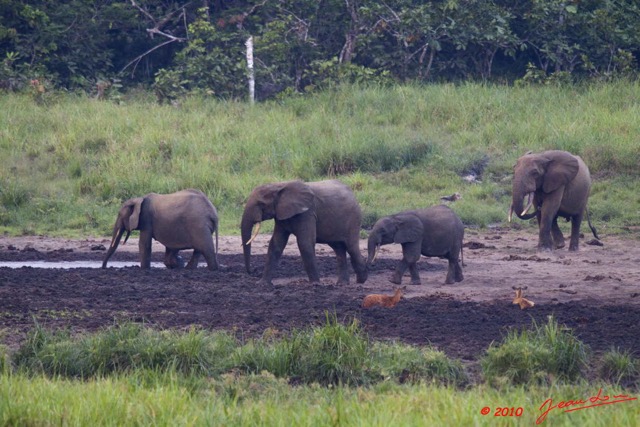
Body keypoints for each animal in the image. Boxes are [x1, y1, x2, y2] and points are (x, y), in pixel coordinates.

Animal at [241, 179, 370, 286]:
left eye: (261, 204)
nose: (253, 271)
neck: (280, 185)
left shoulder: (307, 213)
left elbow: (305, 243)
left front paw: (315, 284)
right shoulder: (281, 215)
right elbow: (276, 244)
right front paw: (262, 284)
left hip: (353, 219)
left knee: (351, 247)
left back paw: (361, 279)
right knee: (339, 249)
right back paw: (342, 284)